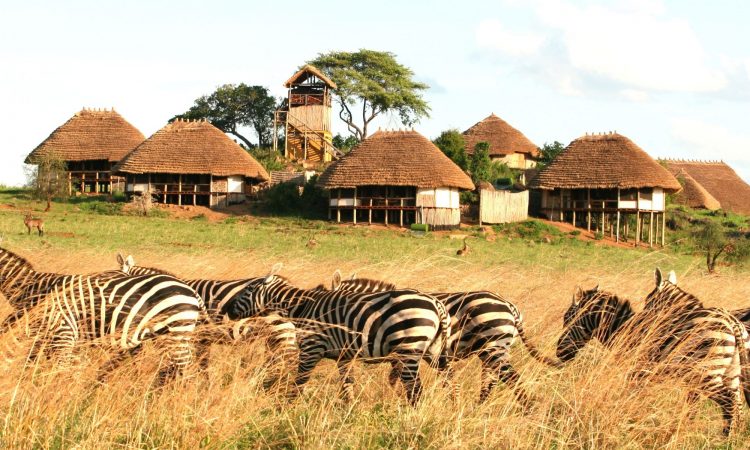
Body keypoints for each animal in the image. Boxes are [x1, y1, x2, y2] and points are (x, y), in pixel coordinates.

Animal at [226, 262, 452, 406]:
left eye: (247, 291)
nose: (227, 310)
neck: (302, 306)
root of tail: (436, 303)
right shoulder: (344, 355)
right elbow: (347, 386)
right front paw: (349, 411)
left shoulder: (311, 348)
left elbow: (300, 382)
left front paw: (285, 410)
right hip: (434, 352)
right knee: (448, 379)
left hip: (409, 349)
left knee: (416, 390)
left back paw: (412, 418)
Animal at [326, 270, 560, 404]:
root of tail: (510, 306)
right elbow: (394, 379)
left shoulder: (401, 352)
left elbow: (395, 380)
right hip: (492, 349)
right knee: (492, 380)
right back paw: (479, 407)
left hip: (493, 345)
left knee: (510, 378)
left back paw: (526, 409)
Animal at [560, 284, 750, 436]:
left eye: (567, 319)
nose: (559, 352)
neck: (625, 330)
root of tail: (732, 322)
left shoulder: (637, 372)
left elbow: (632, 398)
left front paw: (630, 422)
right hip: (730, 373)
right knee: (737, 403)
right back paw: (732, 437)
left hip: (706, 373)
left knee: (729, 401)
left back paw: (725, 438)